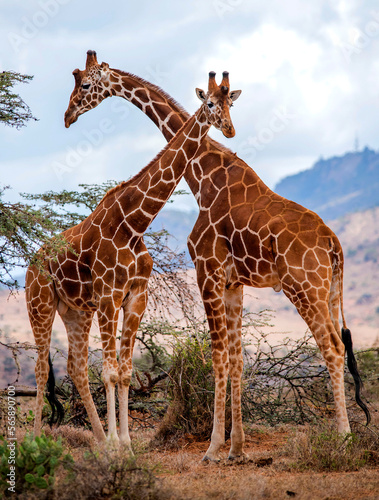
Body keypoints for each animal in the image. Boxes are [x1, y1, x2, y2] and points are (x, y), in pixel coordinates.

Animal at [26, 63, 240, 450]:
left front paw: (124, 444)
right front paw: (116, 444)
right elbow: (110, 371)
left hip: (75, 311)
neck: (133, 222)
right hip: (40, 304)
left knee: (76, 367)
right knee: (41, 368)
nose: (229, 129)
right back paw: (37, 440)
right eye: (211, 104)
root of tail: (31, 265)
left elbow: (125, 372)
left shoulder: (135, 296)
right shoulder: (109, 295)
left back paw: (97, 439)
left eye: (230, 102)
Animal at [63, 50, 370, 460]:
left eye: (84, 84)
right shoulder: (233, 283)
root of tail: (335, 245)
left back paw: (343, 438)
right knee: (338, 348)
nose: (68, 115)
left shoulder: (206, 271)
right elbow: (237, 360)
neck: (202, 177)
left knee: (333, 350)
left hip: (305, 287)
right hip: (331, 290)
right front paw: (236, 447)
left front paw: (212, 448)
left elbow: (217, 357)